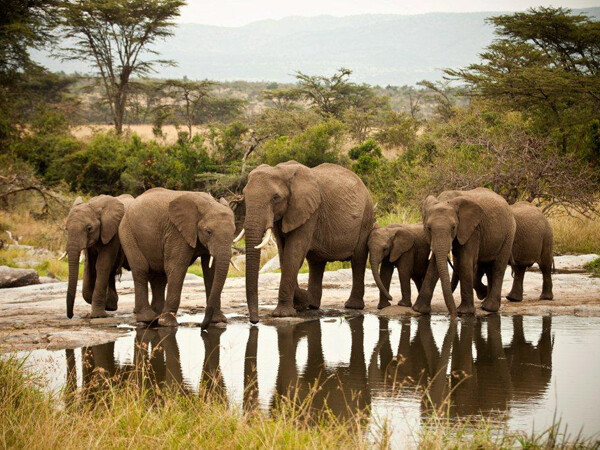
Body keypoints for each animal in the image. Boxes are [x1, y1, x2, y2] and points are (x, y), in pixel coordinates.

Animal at [118, 188, 236, 328]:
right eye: (209, 232)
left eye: (234, 232)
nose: (201, 325)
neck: (207, 203)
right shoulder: (176, 232)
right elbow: (177, 267)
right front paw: (167, 323)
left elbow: (210, 271)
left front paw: (218, 321)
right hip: (127, 232)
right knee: (141, 269)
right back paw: (147, 319)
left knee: (159, 277)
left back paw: (156, 317)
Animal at [240, 162, 376, 324]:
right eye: (244, 195)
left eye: (275, 197)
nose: (254, 321)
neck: (282, 170)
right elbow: (284, 254)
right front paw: (301, 303)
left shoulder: (309, 211)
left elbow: (293, 254)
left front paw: (283, 314)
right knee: (316, 263)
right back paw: (313, 304)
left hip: (366, 217)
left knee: (358, 260)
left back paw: (352, 306)